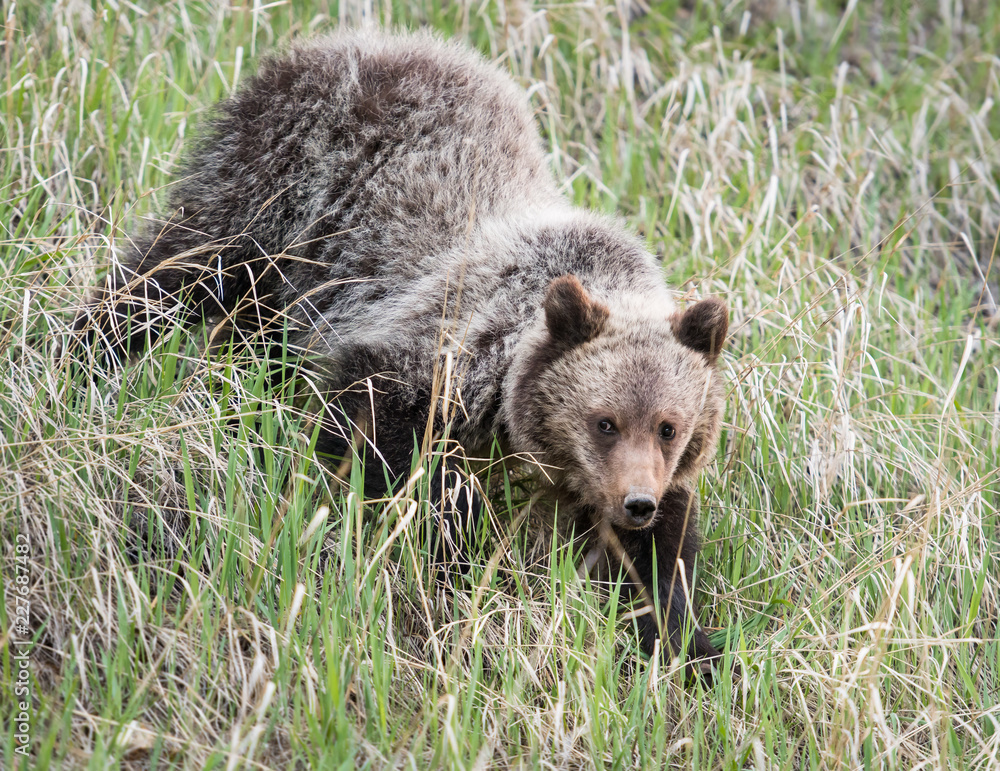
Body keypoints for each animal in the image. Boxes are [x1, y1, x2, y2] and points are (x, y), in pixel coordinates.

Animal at [73, 30, 729, 674]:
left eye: (668, 427)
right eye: (604, 422)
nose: (637, 502)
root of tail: (347, 39)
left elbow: (659, 557)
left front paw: (685, 641)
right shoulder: (444, 345)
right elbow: (387, 444)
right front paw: (451, 563)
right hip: (274, 189)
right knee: (173, 269)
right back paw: (83, 355)